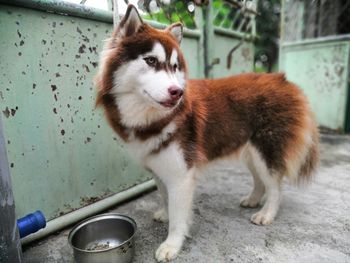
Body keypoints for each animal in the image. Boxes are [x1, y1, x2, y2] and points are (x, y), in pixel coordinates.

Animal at [94, 5, 318, 262]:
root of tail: (284, 81)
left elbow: (179, 216)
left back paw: (267, 213)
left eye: (175, 67)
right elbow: (164, 197)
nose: (178, 92)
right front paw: (165, 213)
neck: (152, 119)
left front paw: (172, 244)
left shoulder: (181, 174)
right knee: (260, 180)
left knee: (275, 187)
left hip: (266, 151)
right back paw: (253, 199)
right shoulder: (159, 168)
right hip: (251, 151)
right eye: (150, 60)